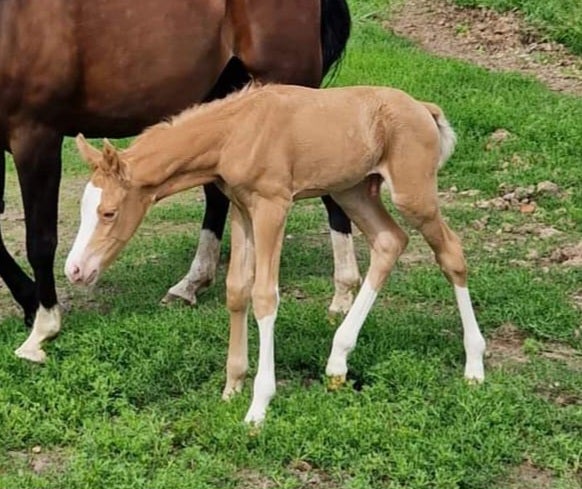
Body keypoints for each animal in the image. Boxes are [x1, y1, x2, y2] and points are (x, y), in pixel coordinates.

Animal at [1, 0, 360, 358]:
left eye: (109, 213)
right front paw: (30, 303)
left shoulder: (36, 136)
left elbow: (40, 240)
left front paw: (42, 328)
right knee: (217, 194)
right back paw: (191, 283)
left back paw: (343, 292)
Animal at [66, 85, 488, 424]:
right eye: (84, 209)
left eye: (109, 212)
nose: (74, 270)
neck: (235, 132)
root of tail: (423, 108)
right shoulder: (241, 208)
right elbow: (237, 290)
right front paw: (232, 386)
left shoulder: (273, 206)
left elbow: (265, 296)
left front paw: (258, 406)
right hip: (352, 190)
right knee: (389, 241)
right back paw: (337, 360)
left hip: (412, 193)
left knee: (451, 253)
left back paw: (474, 365)